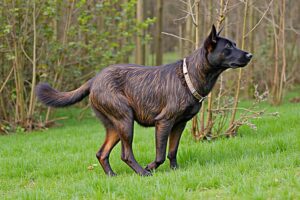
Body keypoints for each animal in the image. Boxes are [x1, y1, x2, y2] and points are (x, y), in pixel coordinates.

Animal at [35, 24, 253, 175]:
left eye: (235, 44)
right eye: (228, 47)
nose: (250, 55)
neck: (188, 76)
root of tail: (94, 80)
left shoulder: (180, 124)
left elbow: (172, 151)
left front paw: (175, 171)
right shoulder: (164, 122)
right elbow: (160, 154)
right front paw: (151, 167)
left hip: (115, 126)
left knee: (102, 153)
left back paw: (112, 176)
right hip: (125, 120)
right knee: (125, 154)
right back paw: (142, 172)